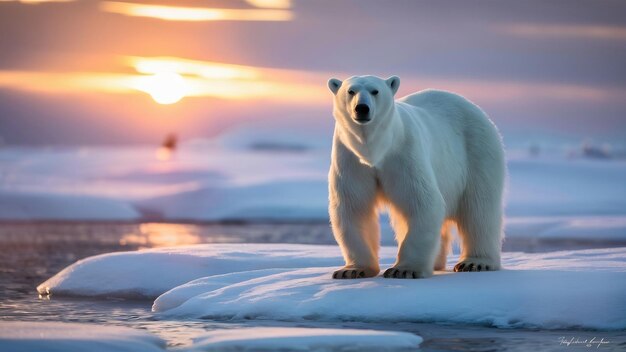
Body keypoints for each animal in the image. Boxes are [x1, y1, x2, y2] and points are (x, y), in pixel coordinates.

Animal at [326, 75, 502, 280]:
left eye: (375, 91)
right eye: (351, 91)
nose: (361, 108)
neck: (375, 150)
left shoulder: (403, 153)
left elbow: (421, 202)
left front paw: (404, 269)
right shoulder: (350, 159)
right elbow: (353, 207)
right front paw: (352, 270)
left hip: (478, 151)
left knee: (479, 208)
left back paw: (475, 262)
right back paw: (436, 262)